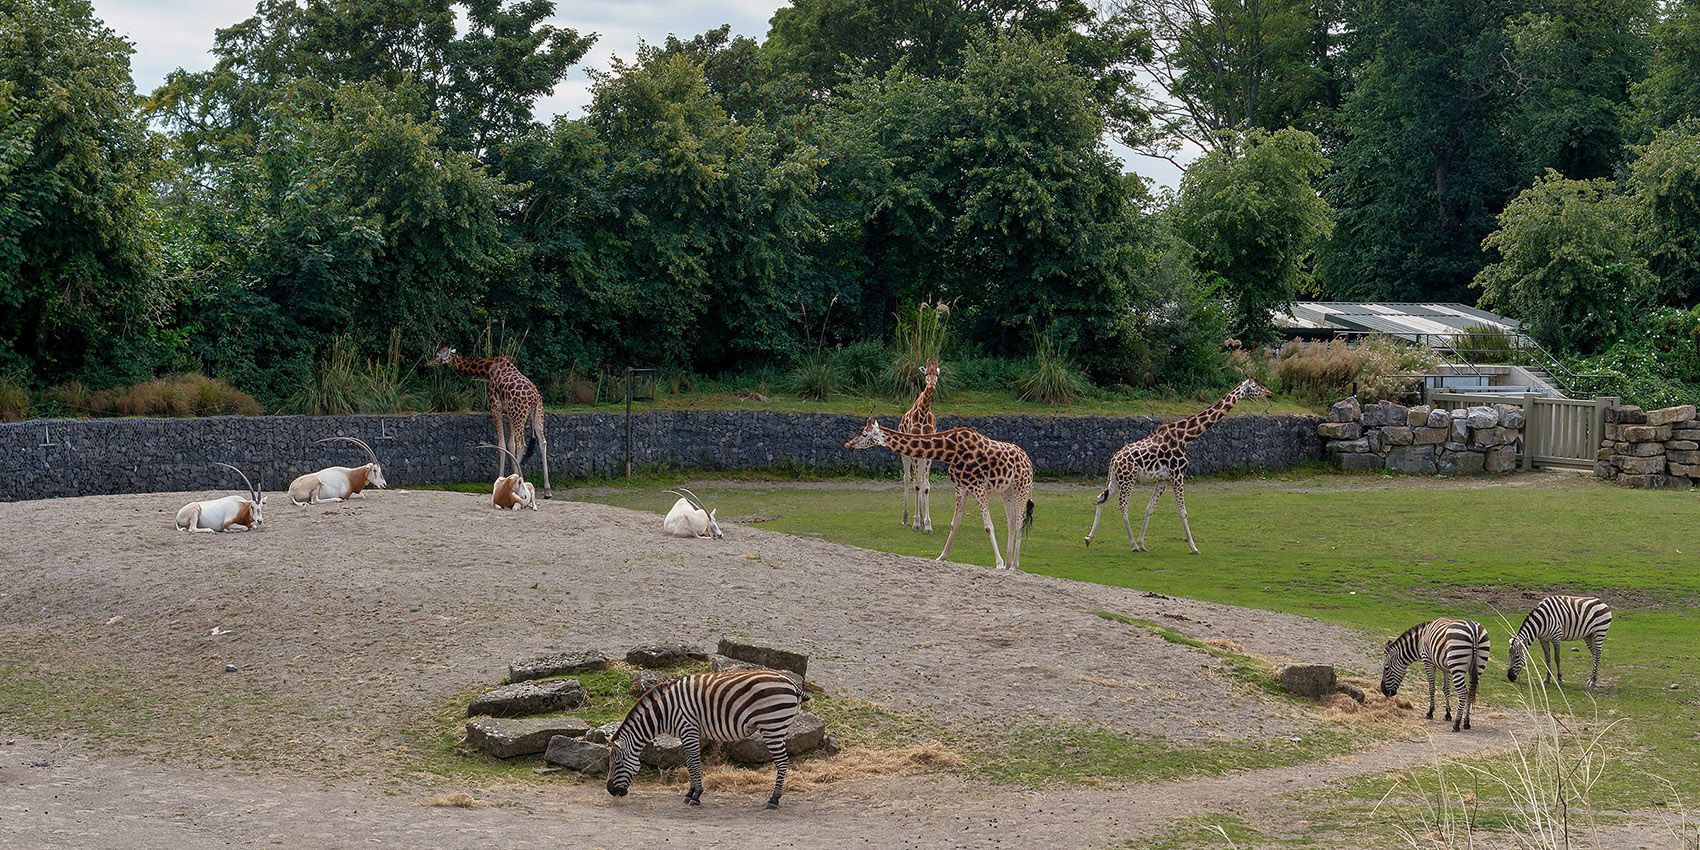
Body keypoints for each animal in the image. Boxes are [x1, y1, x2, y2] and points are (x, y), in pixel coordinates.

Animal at [434, 345, 551, 499]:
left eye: (437, 354)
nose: (428, 362)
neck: (488, 369)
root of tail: (534, 398)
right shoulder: (508, 412)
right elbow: (510, 445)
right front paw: (512, 476)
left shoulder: (495, 407)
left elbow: (502, 444)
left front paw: (502, 480)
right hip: (536, 415)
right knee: (542, 442)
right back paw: (547, 490)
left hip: (519, 414)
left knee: (522, 444)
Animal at [606, 669, 804, 810]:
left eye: (617, 764)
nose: (610, 790)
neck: (665, 712)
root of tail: (793, 683)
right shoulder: (688, 734)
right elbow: (689, 762)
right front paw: (690, 793)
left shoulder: (689, 730)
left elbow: (694, 762)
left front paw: (696, 795)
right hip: (779, 728)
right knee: (783, 761)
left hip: (772, 726)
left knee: (782, 762)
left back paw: (774, 799)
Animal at [845, 419, 1034, 571]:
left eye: (864, 433)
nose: (848, 444)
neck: (950, 452)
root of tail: (1029, 461)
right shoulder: (961, 487)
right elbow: (954, 523)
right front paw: (941, 557)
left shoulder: (978, 486)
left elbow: (988, 526)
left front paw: (999, 564)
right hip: (1006, 491)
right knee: (1011, 521)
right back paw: (1009, 563)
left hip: (1021, 487)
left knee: (1019, 522)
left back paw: (1013, 565)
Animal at [896, 360, 940, 533]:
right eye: (926, 372)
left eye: (937, 373)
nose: (932, 384)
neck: (922, 414)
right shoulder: (913, 452)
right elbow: (916, 485)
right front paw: (915, 523)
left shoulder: (928, 453)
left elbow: (925, 486)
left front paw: (927, 524)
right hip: (905, 454)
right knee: (908, 479)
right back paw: (905, 518)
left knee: (919, 480)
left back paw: (921, 519)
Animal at [1084, 378, 1272, 554]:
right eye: (1254, 386)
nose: (1270, 393)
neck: (1186, 437)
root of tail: (1113, 459)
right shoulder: (1178, 475)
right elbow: (1183, 511)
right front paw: (1193, 547)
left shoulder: (1163, 480)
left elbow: (1149, 508)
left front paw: (1143, 543)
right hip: (1128, 479)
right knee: (1122, 506)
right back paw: (1132, 545)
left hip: (1116, 480)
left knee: (1100, 498)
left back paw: (1089, 538)